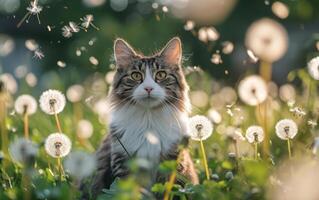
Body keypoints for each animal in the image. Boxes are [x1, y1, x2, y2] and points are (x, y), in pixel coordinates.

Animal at [87, 37, 199, 198]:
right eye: (136, 75)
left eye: (160, 75)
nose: (148, 88)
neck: (148, 119)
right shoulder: (123, 162)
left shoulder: (173, 163)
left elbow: (170, 190)